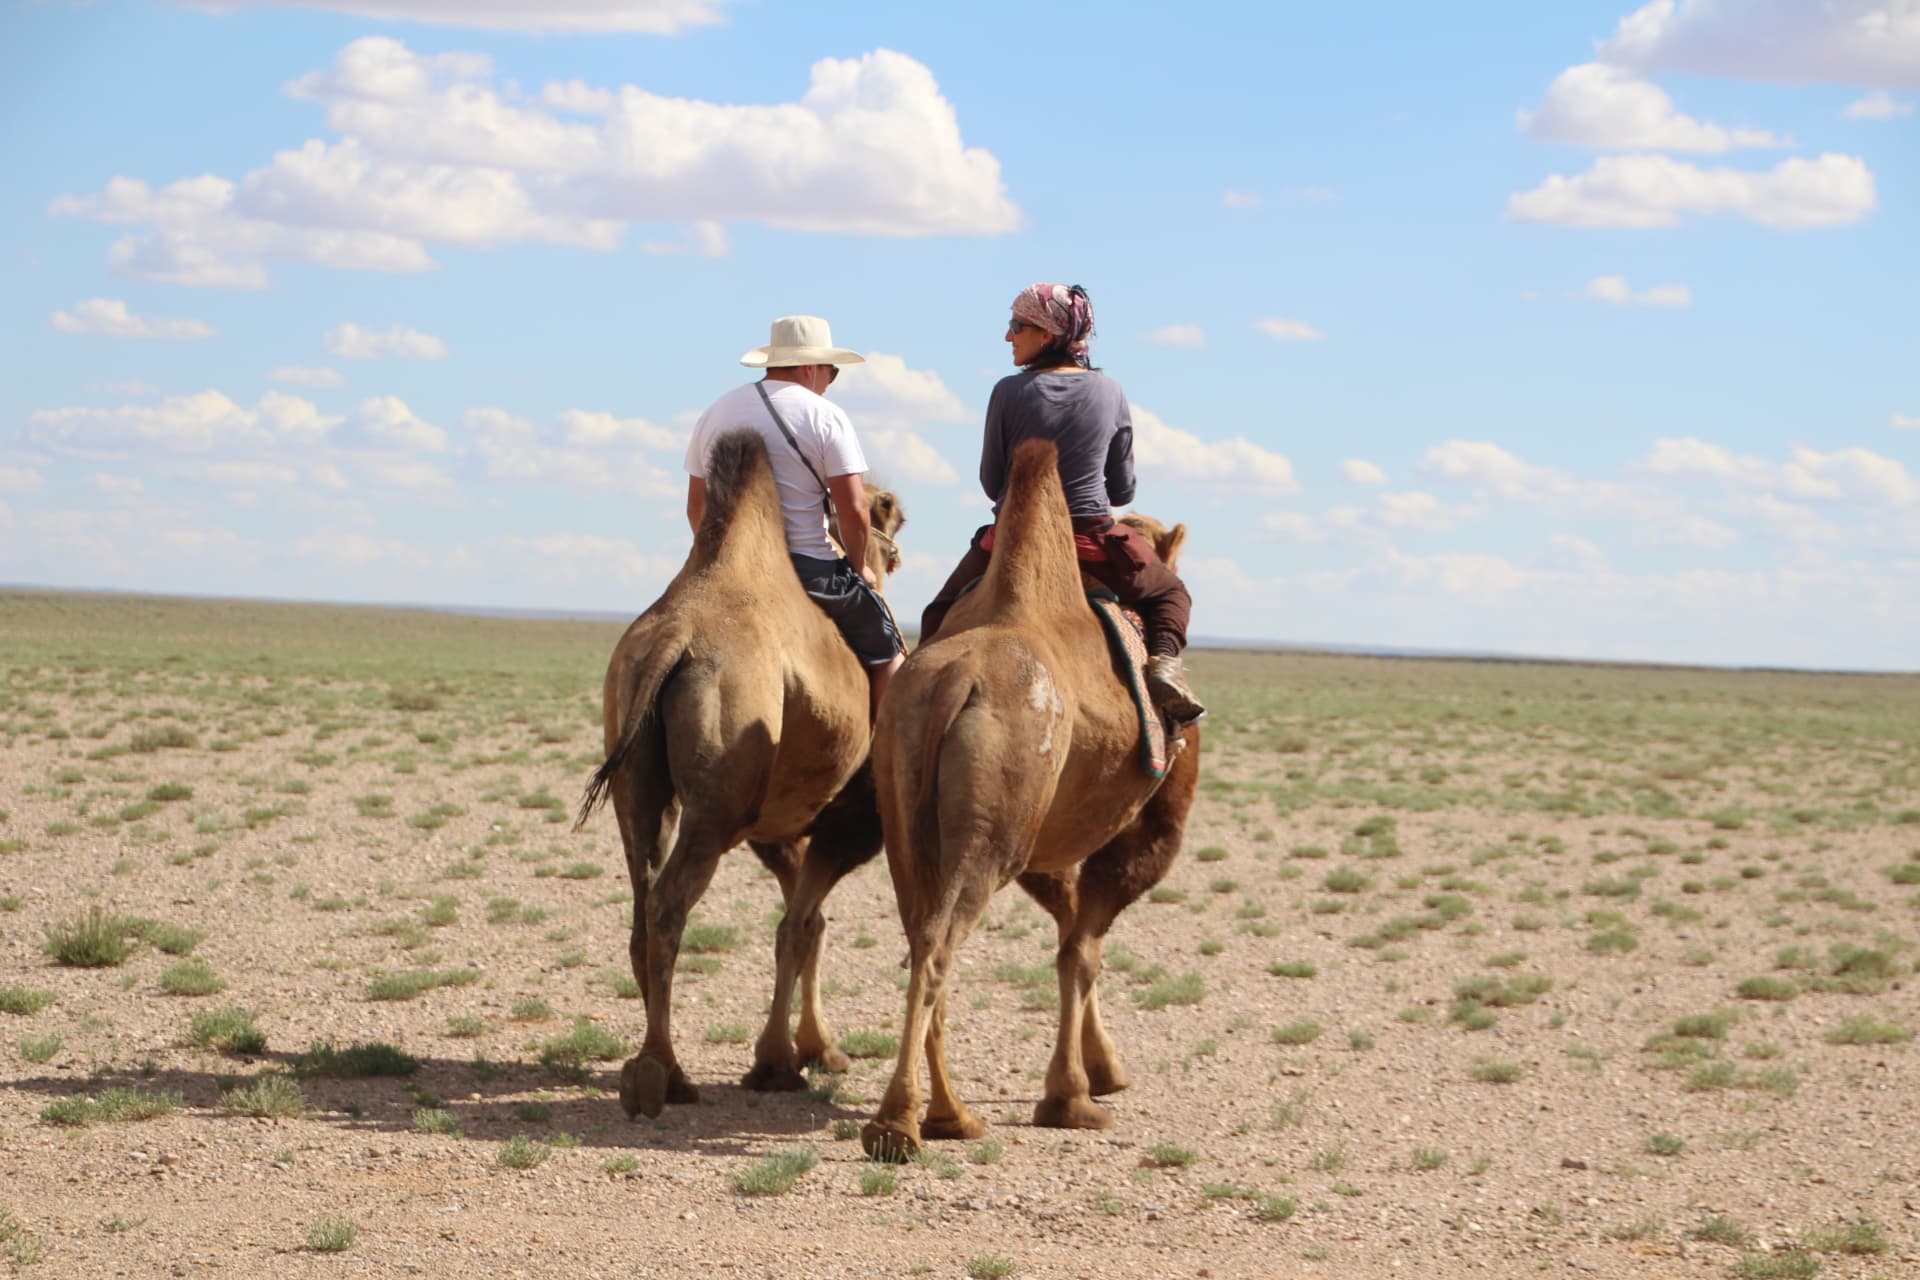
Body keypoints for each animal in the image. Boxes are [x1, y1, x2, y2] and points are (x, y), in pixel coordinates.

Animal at [576, 428, 905, 1119]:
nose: (890, 557)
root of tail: (673, 638)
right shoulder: (842, 821)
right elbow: (799, 928)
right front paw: (784, 1060)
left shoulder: (779, 830)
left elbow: (808, 927)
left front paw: (810, 1049)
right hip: (718, 801)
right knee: (670, 903)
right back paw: (663, 1075)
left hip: (637, 777)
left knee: (642, 900)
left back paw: (654, 1062)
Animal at [860, 439, 1202, 1161]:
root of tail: (957, 680)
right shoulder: (1147, 828)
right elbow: (1083, 950)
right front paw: (1073, 1097)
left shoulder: (1050, 840)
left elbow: (1072, 934)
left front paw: (1097, 1072)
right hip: (996, 827)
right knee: (940, 944)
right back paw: (902, 1124)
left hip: (908, 811)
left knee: (920, 934)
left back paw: (950, 1115)